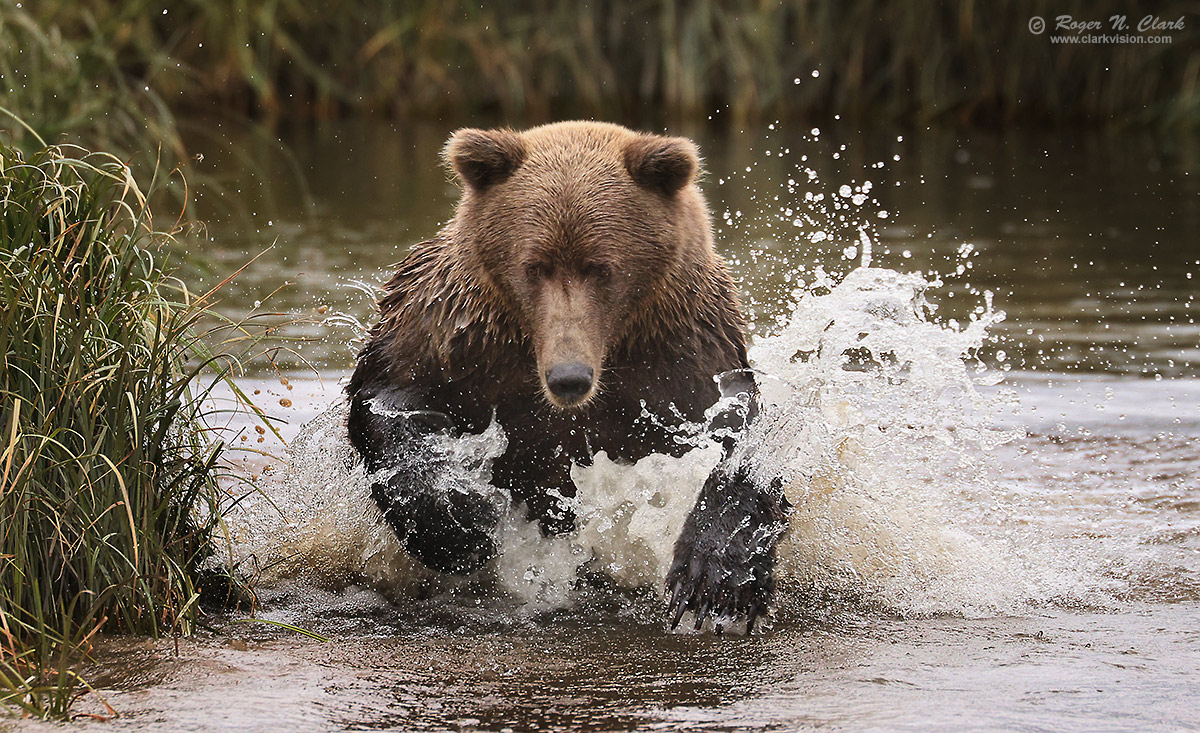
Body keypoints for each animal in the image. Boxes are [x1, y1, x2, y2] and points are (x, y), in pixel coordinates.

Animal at [348, 120, 787, 628]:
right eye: (534, 266)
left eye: (601, 268)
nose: (569, 377)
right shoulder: (457, 335)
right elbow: (390, 401)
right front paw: (464, 523)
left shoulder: (683, 353)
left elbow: (740, 433)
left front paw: (714, 577)